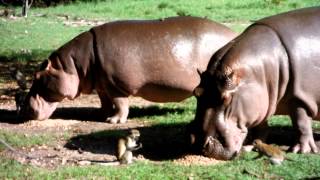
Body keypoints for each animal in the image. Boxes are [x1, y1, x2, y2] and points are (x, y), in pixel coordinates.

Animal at [19, 16, 235, 124]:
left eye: (37, 76)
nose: (24, 109)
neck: (73, 65)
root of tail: (233, 34)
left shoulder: (116, 86)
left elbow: (120, 104)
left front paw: (113, 121)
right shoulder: (102, 85)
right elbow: (105, 102)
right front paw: (101, 116)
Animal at [188, 7, 320, 160]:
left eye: (226, 99)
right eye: (195, 92)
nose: (199, 143)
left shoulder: (300, 97)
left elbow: (301, 123)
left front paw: (301, 150)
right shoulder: (260, 101)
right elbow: (260, 126)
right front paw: (251, 145)